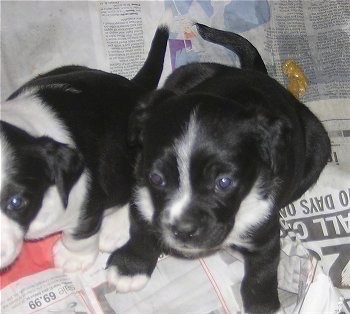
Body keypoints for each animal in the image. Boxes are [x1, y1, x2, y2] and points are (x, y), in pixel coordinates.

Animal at [0, 17, 170, 272]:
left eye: (16, 202)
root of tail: (135, 88)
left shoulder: (85, 208)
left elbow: (79, 236)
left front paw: (73, 258)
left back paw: (114, 229)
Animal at [106, 23, 330, 312]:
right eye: (156, 178)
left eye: (224, 182)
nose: (184, 230)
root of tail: (255, 73)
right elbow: (142, 228)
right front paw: (130, 267)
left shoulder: (266, 233)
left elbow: (262, 272)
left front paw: (262, 305)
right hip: (185, 74)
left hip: (318, 145)